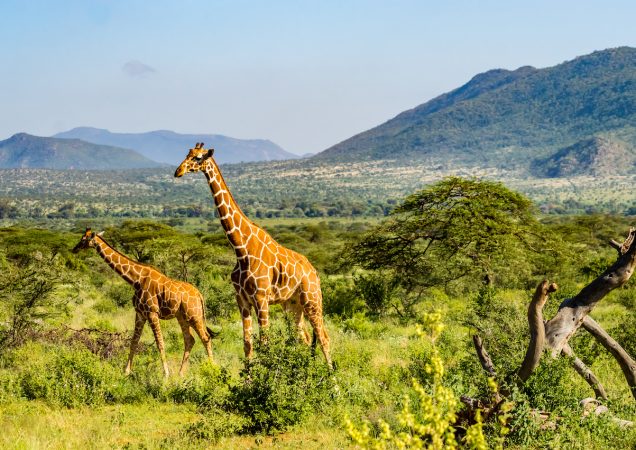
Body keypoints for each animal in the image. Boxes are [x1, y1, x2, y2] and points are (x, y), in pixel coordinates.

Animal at [73, 227, 215, 378]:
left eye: (83, 239)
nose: (74, 249)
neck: (136, 279)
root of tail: (199, 294)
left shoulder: (152, 313)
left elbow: (160, 343)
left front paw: (166, 374)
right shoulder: (140, 313)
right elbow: (134, 341)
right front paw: (126, 371)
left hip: (194, 315)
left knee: (205, 337)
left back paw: (212, 368)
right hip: (182, 316)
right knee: (190, 340)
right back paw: (180, 373)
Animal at [174, 142, 332, 368]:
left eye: (197, 158)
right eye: (187, 154)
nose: (178, 171)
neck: (241, 249)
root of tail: (314, 272)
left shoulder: (261, 298)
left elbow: (264, 343)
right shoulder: (242, 300)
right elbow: (247, 345)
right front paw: (249, 377)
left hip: (312, 299)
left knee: (324, 337)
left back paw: (332, 377)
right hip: (292, 305)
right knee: (305, 337)